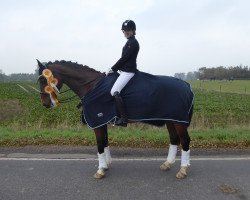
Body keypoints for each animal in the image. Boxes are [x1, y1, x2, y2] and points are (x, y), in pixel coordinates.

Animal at [36, 59, 193, 180]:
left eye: (44, 79)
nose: (45, 103)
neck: (92, 87)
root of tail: (186, 85)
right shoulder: (103, 121)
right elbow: (105, 142)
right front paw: (106, 165)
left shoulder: (98, 121)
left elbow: (100, 144)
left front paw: (100, 170)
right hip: (171, 120)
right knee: (174, 139)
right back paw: (167, 164)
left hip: (178, 122)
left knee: (185, 141)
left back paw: (183, 170)